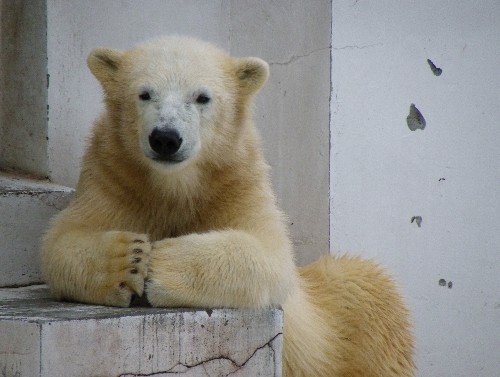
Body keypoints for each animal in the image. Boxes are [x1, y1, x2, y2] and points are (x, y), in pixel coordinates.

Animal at [42, 36, 414, 376]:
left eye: (202, 97)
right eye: (144, 93)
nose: (165, 138)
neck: (174, 186)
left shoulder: (237, 182)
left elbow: (269, 253)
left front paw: (160, 264)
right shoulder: (114, 176)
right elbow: (63, 240)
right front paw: (129, 258)